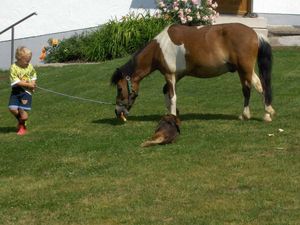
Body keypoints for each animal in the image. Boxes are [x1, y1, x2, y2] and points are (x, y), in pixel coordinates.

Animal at [111, 22, 276, 121]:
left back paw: (267, 114)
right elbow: (166, 92)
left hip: (246, 69)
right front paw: (173, 112)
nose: (117, 111)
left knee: (260, 87)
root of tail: (254, 33)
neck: (159, 49)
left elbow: (172, 96)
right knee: (247, 90)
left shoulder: (169, 75)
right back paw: (245, 115)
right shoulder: (176, 76)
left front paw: (172, 115)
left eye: (119, 88)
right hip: (242, 71)